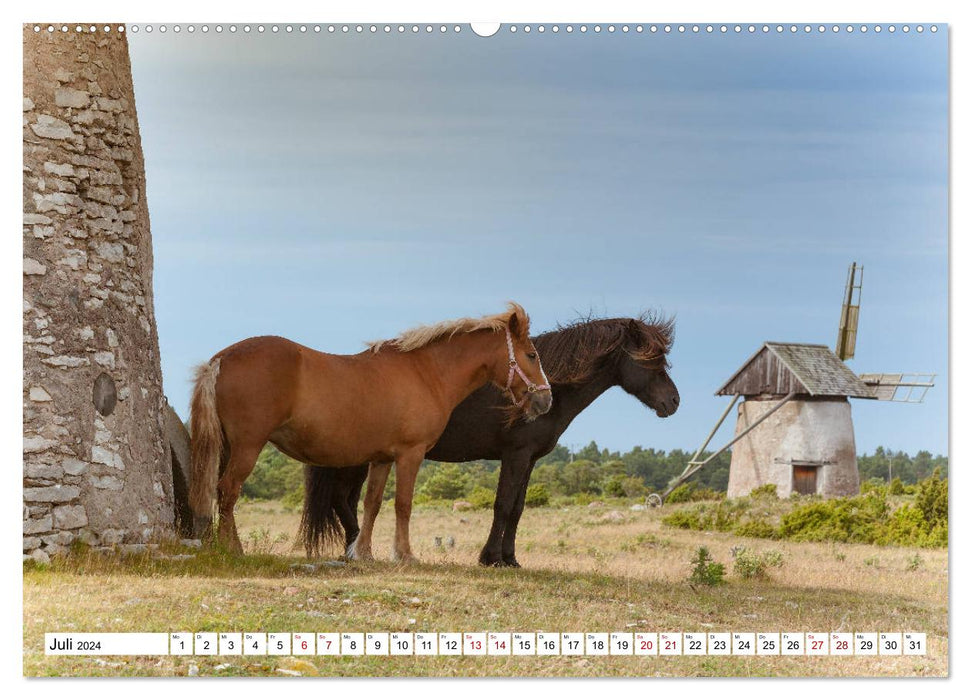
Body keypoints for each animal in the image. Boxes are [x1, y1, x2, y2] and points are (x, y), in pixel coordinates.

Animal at [188, 304, 556, 560]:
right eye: (531, 354)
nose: (546, 400)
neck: (426, 372)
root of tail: (221, 359)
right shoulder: (410, 454)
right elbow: (404, 504)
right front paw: (404, 554)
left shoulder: (381, 459)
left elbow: (373, 503)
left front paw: (362, 552)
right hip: (248, 446)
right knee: (228, 491)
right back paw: (233, 548)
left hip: (226, 447)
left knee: (217, 490)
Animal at [302, 314, 676, 568]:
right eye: (651, 360)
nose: (674, 402)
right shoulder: (515, 455)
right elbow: (503, 505)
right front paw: (491, 558)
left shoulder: (529, 459)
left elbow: (518, 509)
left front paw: (510, 558)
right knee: (343, 500)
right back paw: (355, 550)